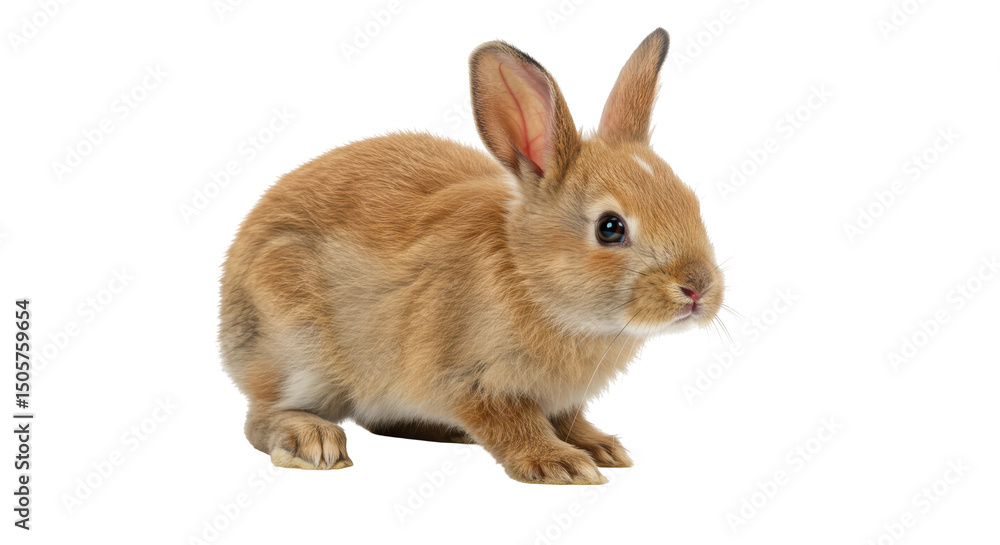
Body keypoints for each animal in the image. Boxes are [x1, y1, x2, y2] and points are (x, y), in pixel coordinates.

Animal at [219, 27, 724, 485]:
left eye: (691, 202)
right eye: (610, 228)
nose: (698, 289)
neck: (530, 277)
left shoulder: (560, 399)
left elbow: (568, 420)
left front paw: (601, 447)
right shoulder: (469, 381)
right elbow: (513, 422)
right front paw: (560, 464)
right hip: (297, 350)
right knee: (260, 418)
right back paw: (312, 441)